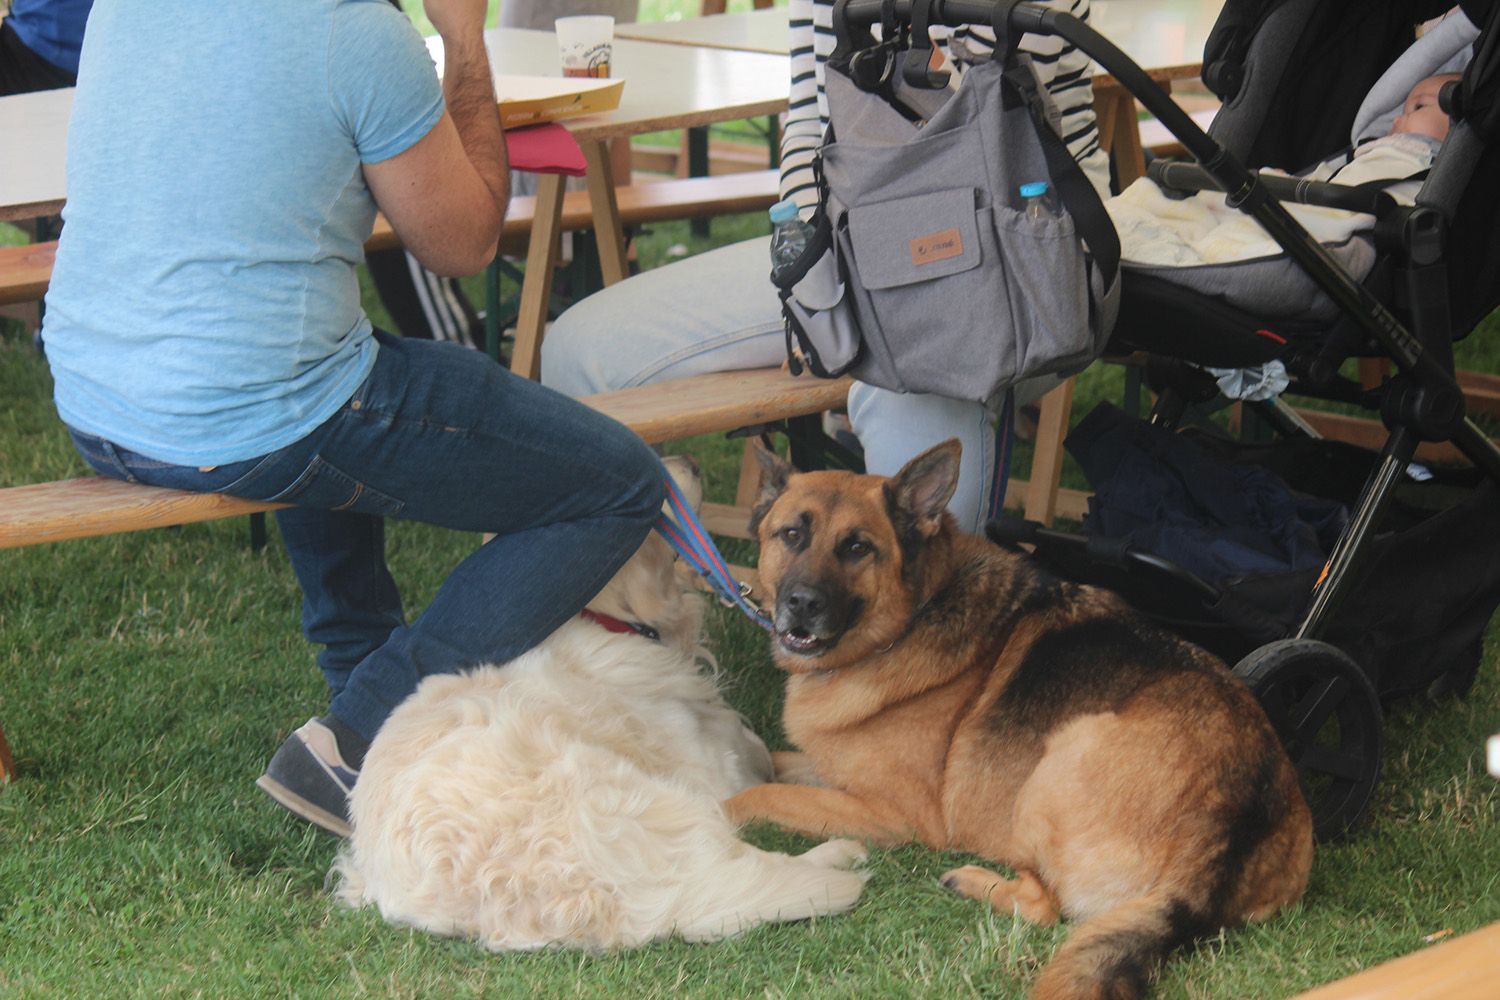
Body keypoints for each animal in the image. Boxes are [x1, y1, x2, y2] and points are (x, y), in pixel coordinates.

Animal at [729, 443, 1314, 1000]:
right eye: (791, 535)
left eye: (857, 547)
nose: (802, 604)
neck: (916, 613)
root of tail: (1230, 821)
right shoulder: (830, 772)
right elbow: (771, 766)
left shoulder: (894, 816)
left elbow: (756, 795)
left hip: (1058, 762)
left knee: (1046, 908)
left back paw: (974, 882)